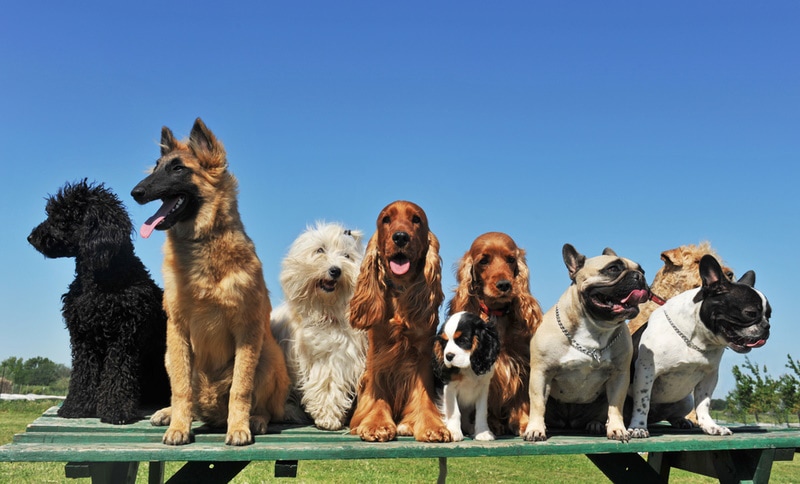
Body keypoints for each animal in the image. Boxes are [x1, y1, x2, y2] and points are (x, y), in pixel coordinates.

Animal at [131, 118, 290, 446]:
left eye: (178, 169)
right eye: (156, 167)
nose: (135, 192)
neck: (202, 243)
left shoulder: (247, 330)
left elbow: (241, 388)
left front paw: (238, 426)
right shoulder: (177, 331)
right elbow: (181, 389)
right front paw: (178, 427)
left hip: (269, 355)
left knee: (265, 406)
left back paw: (256, 419)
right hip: (170, 356)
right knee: (188, 395)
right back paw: (171, 414)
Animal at [270, 221, 368, 430]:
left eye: (347, 256)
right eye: (320, 250)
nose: (335, 270)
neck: (326, 310)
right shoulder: (325, 359)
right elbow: (327, 383)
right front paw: (328, 418)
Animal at [432, 312, 500, 440]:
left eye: (463, 340)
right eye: (444, 342)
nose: (448, 356)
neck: (468, 366)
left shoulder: (483, 388)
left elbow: (481, 412)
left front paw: (482, 432)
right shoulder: (449, 388)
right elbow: (454, 411)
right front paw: (454, 432)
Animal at [524, 246, 648, 442]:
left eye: (642, 271)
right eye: (613, 269)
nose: (639, 276)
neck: (595, 327)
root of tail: (569, 422)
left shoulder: (619, 375)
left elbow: (615, 406)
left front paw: (617, 429)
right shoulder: (541, 373)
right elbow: (537, 404)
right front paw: (535, 429)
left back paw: (596, 424)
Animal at [628, 255, 772, 436]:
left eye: (769, 315)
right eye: (750, 313)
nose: (767, 326)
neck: (695, 340)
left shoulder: (709, 376)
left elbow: (704, 404)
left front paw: (710, 426)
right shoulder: (646, 371)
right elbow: (642, 402)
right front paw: (638, 427)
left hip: (685, 400)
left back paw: (681, 420)